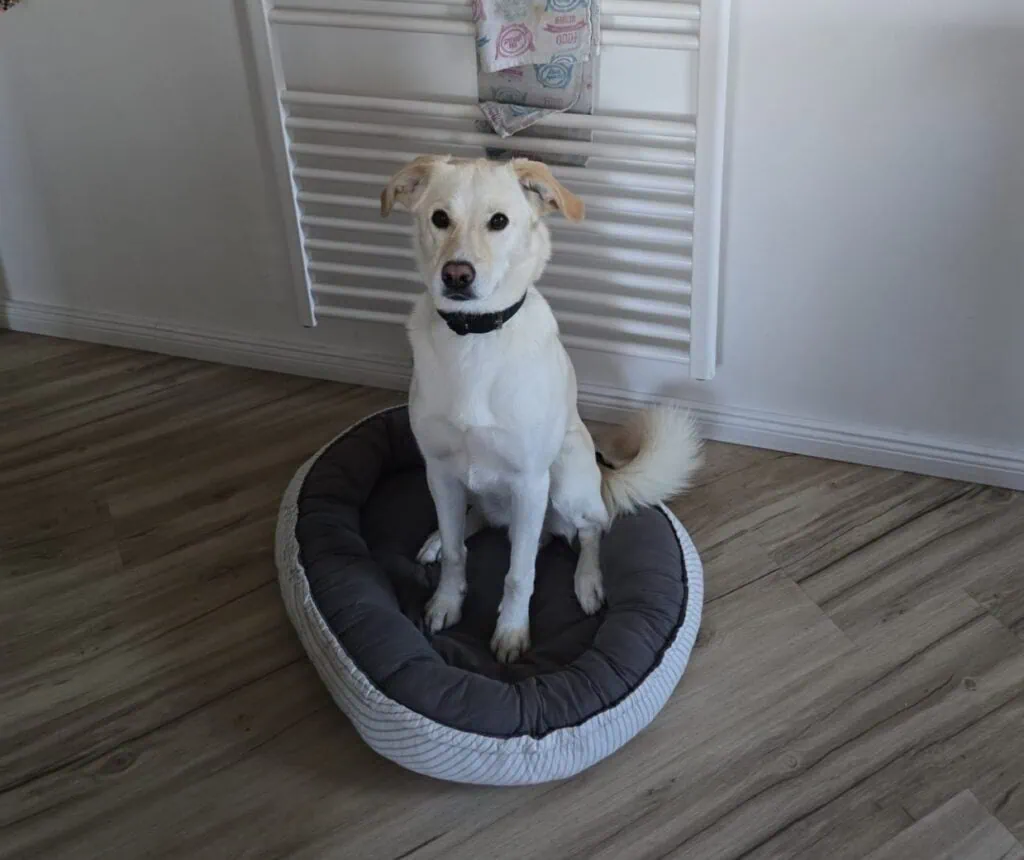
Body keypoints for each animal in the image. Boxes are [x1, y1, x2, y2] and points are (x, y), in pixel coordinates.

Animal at [381, 155, 701, 663]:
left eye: (499, 221)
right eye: (439, 218)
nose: (456, 275)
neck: (475, 337)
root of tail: (602, 475)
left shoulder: (530, 482)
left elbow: (519, 574)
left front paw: (512, 632)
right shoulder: (440, 470)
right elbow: (456, 553)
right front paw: (446, 602)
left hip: (566, 479)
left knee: (592, 529)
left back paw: (588, 582)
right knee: (473, 522)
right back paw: (436, 539)